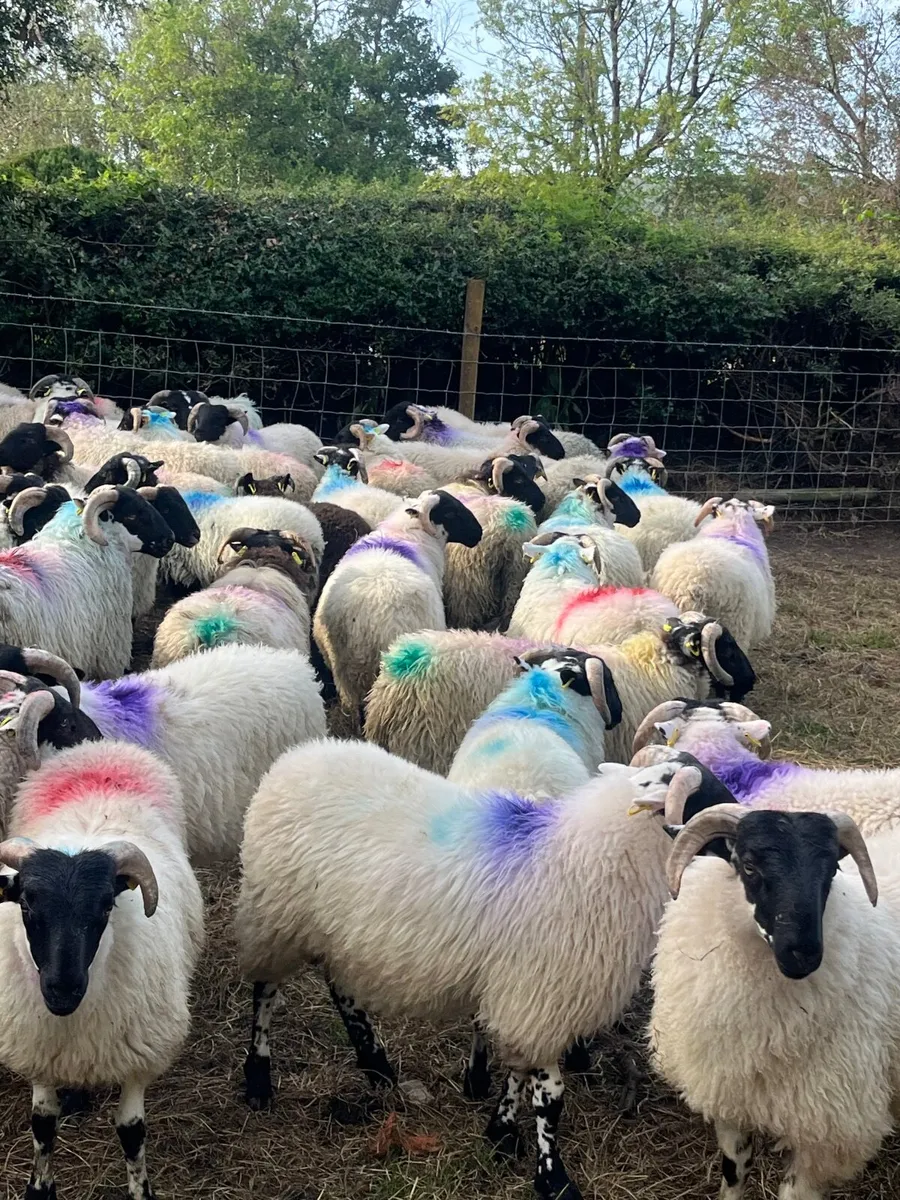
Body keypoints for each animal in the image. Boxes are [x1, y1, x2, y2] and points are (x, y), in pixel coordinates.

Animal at [0, 740, 204, 1200]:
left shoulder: (139, 1055)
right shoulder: (35, 1046)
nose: (62, 989)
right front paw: (39, 1187)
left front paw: (141, 1191)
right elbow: (43, 1125)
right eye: (26, 904)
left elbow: (131, 1133)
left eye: (106, 906)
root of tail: (102, 746)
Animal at [234, 740, 719, 1200]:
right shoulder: (539, 995)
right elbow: (550, 1097)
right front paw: (553, 1180)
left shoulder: (522, 996)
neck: (587, 858)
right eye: (703, 795)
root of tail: (295, 757)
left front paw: (501, 1132)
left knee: (341, 987)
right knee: (266, 991)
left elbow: (518, 1073)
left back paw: (375, 1064)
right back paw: (258, 1078)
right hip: (275, 916)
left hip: (337, 933)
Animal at [650, 801, 897, 1200]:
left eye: (832, 869)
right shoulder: (730, 1100)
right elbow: (734, 1172)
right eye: (749, 865)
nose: (804, 954)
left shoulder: (829, 1133)